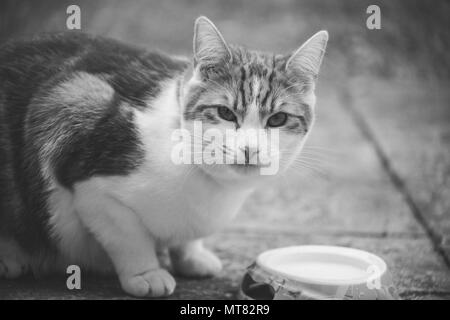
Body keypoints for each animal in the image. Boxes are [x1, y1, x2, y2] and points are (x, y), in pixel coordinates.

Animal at [0, 16, 326, 298]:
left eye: (278, 119)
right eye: (225, 113)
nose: (250, 149)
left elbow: (186, 237)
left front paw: (191, 255)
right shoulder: (90, 179)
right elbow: (128, 237)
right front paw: (145, 273)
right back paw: (11, 258)